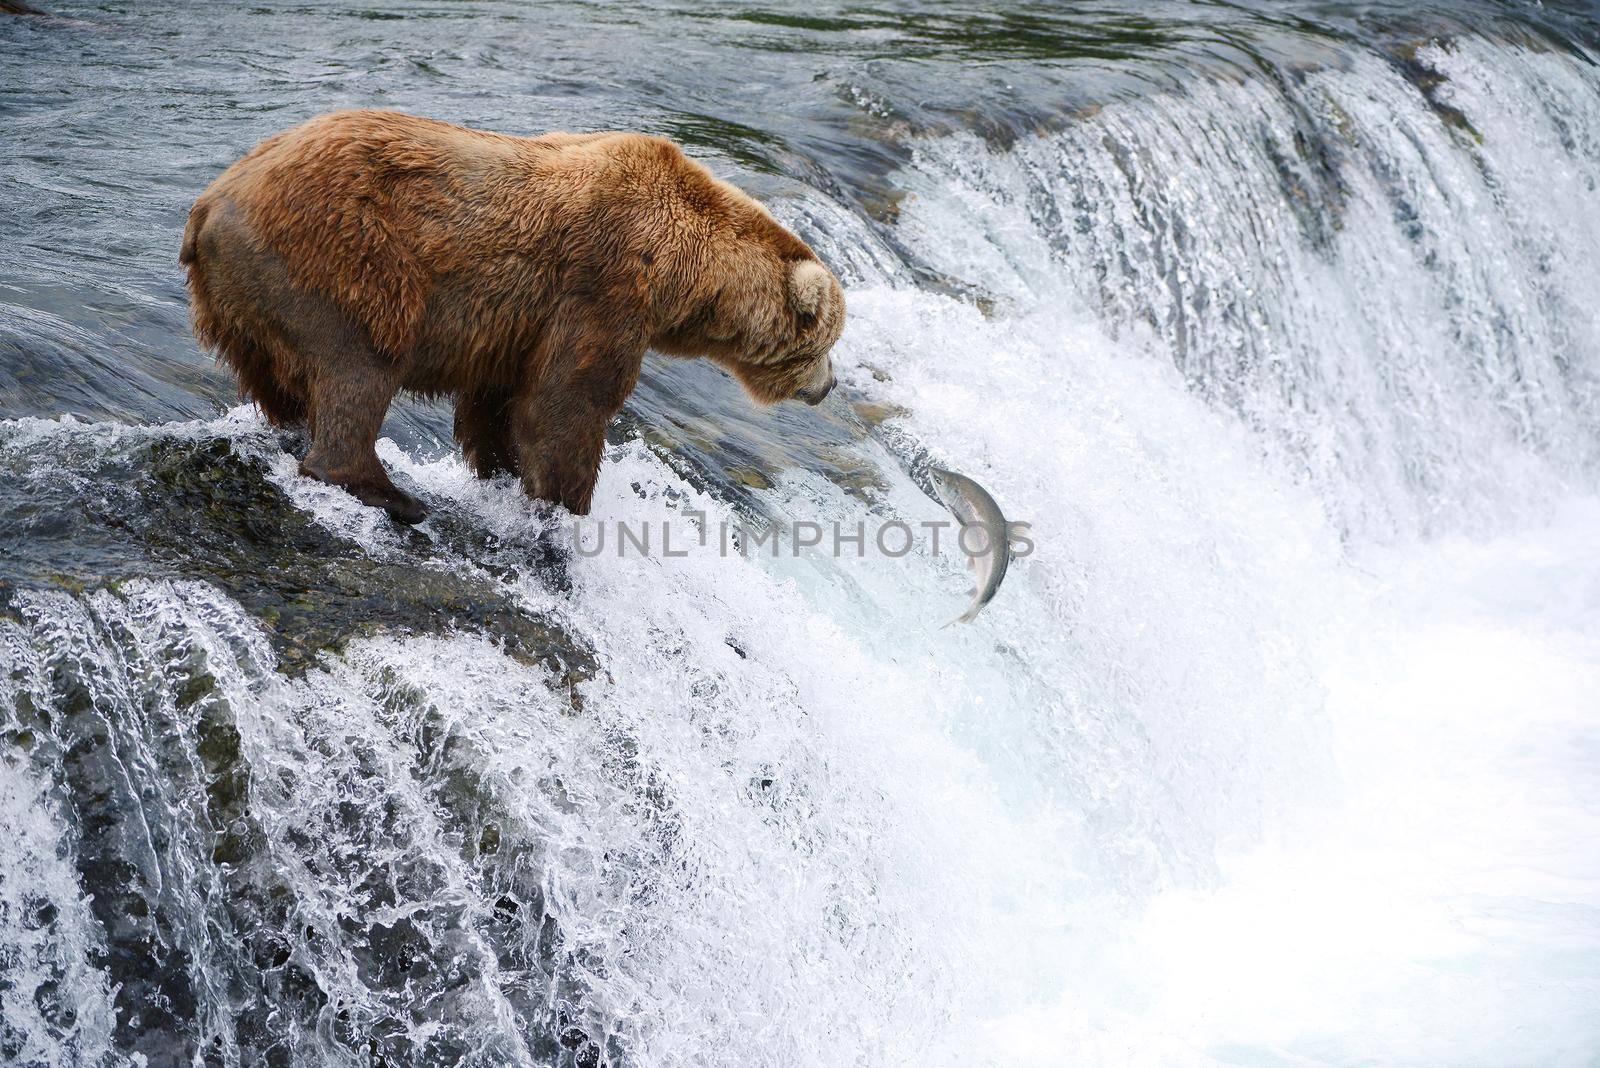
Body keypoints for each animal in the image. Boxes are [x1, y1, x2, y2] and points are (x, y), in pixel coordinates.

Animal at [180, 109, 844, 521]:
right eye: (826, 343)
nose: (830, 385)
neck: (685, 273)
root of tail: (210, 203)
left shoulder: (519, 323)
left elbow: (500, 402)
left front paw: (500, 471)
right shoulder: (605, 284)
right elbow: (567, 401)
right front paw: (567, 503)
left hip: (239, 297)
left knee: (278, 379)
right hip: (342, 259)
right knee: (359, 365)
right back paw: (388, 492)